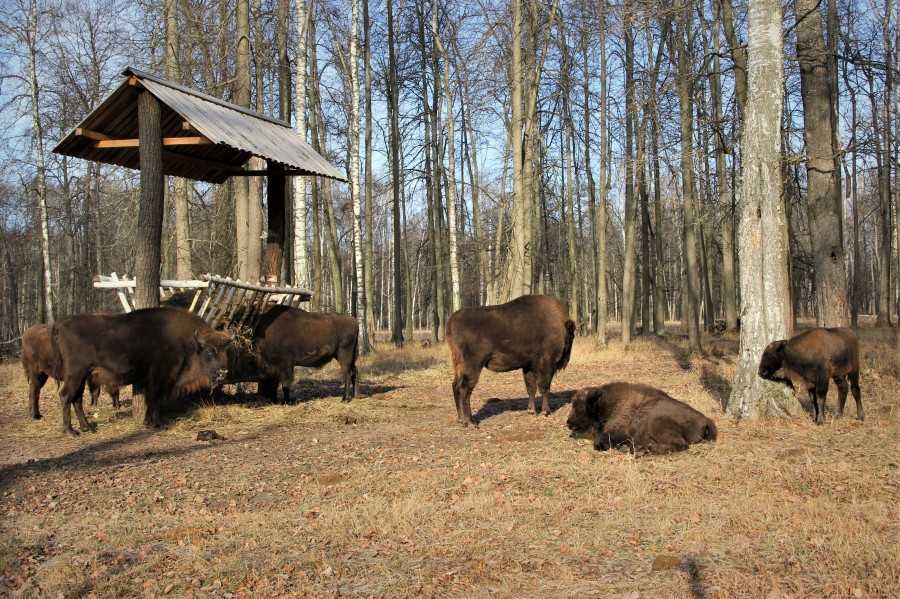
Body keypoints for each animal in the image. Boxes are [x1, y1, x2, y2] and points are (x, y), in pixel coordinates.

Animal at [51, 310, 232, 436]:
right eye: (209, 352)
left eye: (226, 352)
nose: (223, 372)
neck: (189, 344)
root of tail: (61, 324)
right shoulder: (160, 377)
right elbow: (154, 399)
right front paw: (157, 423)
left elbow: (151, 399)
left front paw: (149, 422)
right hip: (76, 374)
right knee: (66, 396)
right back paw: (71, 431)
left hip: (83, 376)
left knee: (77, 399)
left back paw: (87, 427)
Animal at [444, 296, 576, 426]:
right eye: (572, 334)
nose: (567, 357)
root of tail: (451, 321)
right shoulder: (546, 364)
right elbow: (544, 387)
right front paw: (546, 411)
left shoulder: (528, 366)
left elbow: (531, 388)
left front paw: (531, 411)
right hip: (473, 366)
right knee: (465, 389)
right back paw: (470, 422)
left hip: (458, 365)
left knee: (455, 386)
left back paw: (461, 419)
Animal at [568, 384, 720, 454]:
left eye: (578, 406)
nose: (568, 422)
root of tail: (705, 419)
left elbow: (599, 442)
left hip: (656, 423)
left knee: (682, 445)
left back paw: (644, 449)